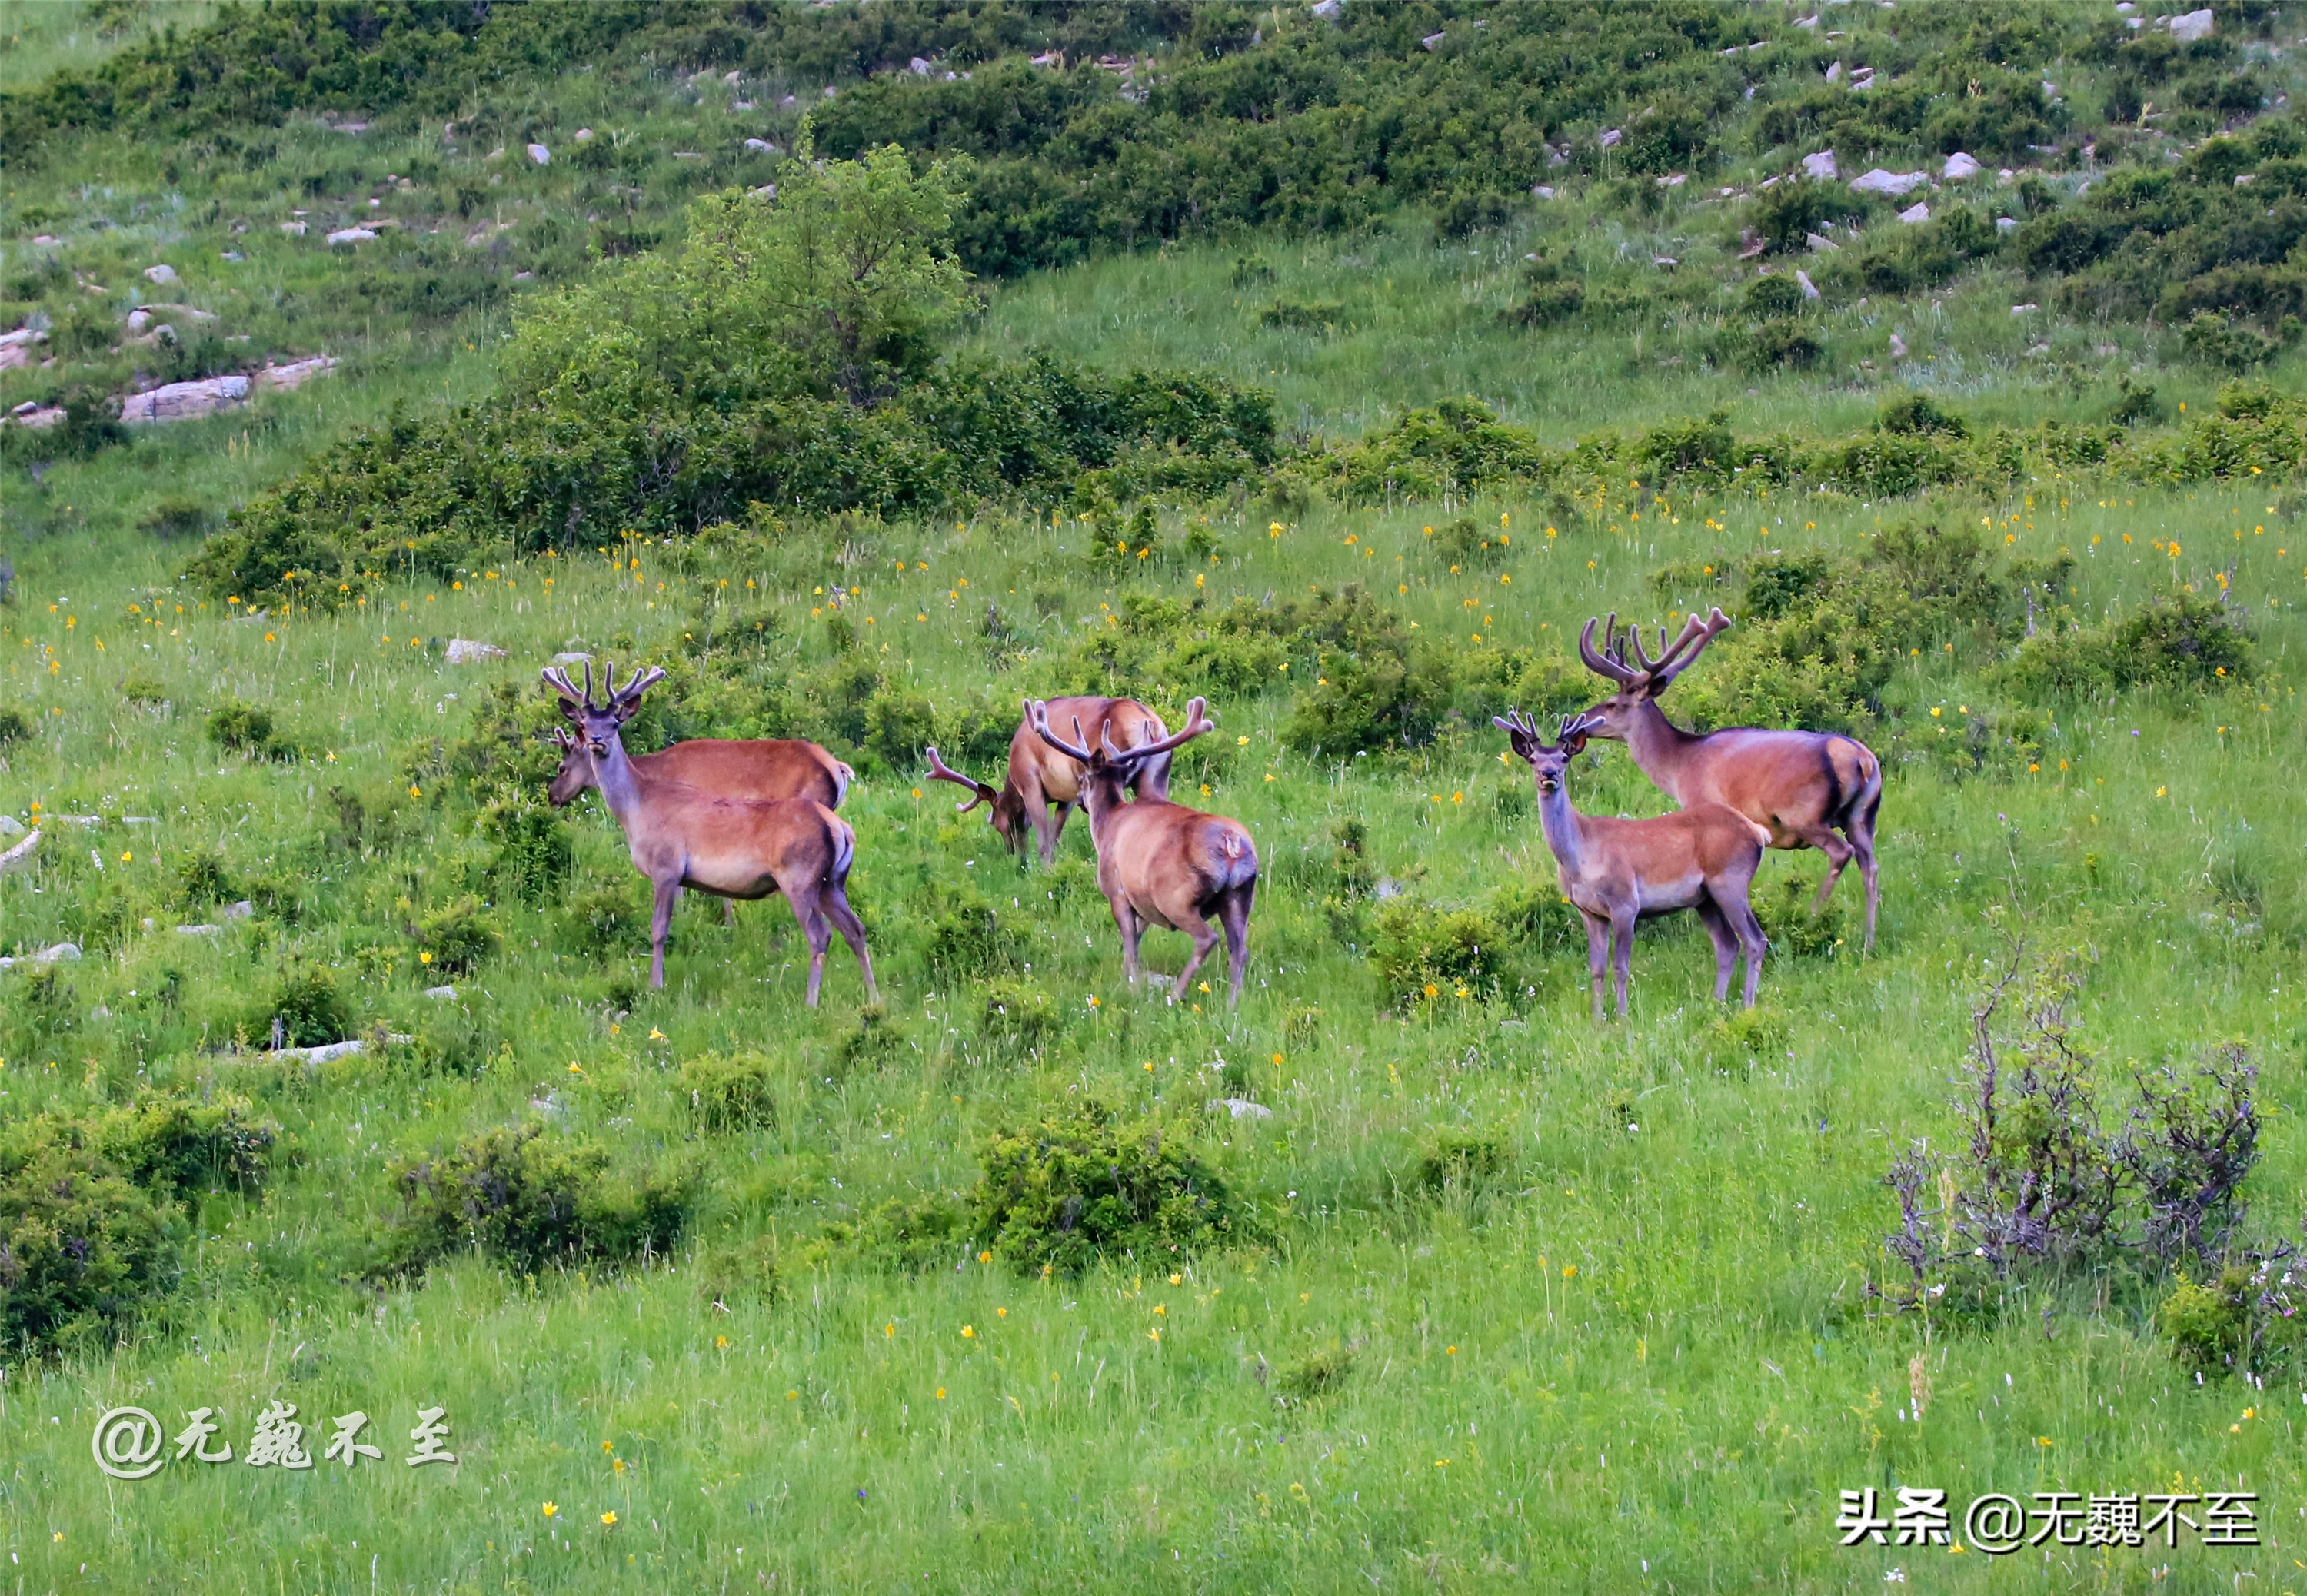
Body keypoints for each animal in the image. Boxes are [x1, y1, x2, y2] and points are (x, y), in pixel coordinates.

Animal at [544, 660, 877, 996]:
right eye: (586, 723)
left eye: (614, 723)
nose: (597, 740)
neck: (636, 810)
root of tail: (839, 828)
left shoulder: (666, 866)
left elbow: (659, 930)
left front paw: (656, 985)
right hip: (832, 882)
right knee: (856, 930)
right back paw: (874, 998)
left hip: (799, 877)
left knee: (820, 935)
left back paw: (811, 1000)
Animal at [918, 697, 1172, 867]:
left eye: (998, 823)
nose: (1012, 855)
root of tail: (1152, 725)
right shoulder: (1068, 795)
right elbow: (1055, 834)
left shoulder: (1031, 783)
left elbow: (1043, 837)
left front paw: (1044, 870)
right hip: (1157, 776)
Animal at [1020, 692, 1264, 1006]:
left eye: (1083, 779)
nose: (1080, 801)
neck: (1108, 824)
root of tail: (1231, 842)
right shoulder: (1141, 902)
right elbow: (1137, 939)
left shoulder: (1117, 891)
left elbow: (1129, 943)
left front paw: (1131, 985)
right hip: (1240, 894)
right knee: (1240, 949)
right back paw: (1231, 1005)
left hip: (1176, 896)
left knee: (1207, 938)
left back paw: (1176, 993)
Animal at [1495, 710, 1763, 1024]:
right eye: (1533, 759)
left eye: (1564, 758)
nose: (1549, 774)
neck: (1581, 858)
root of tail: (1758, 833)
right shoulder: (1589, 912)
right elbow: (1597, 969)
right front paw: (1597, 1020)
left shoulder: (1625, 902)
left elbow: (1621, 967)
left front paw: (1622, 1018)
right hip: (1704, 898)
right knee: (1727, 945)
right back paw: (1716, 1003)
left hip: (1731, 880)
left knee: (1754, 940)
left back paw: (1747, 1005)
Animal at [1578, 600, 1883, 946]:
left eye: (1613, 703)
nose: (1581, 720)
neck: (1679, 765)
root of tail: (1861, 759)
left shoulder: (1702, 807)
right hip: (1862, 817)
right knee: (1870, 865)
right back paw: (1869, 938)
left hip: (1804, 815)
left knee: (1841, 853)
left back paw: (1812, 917)